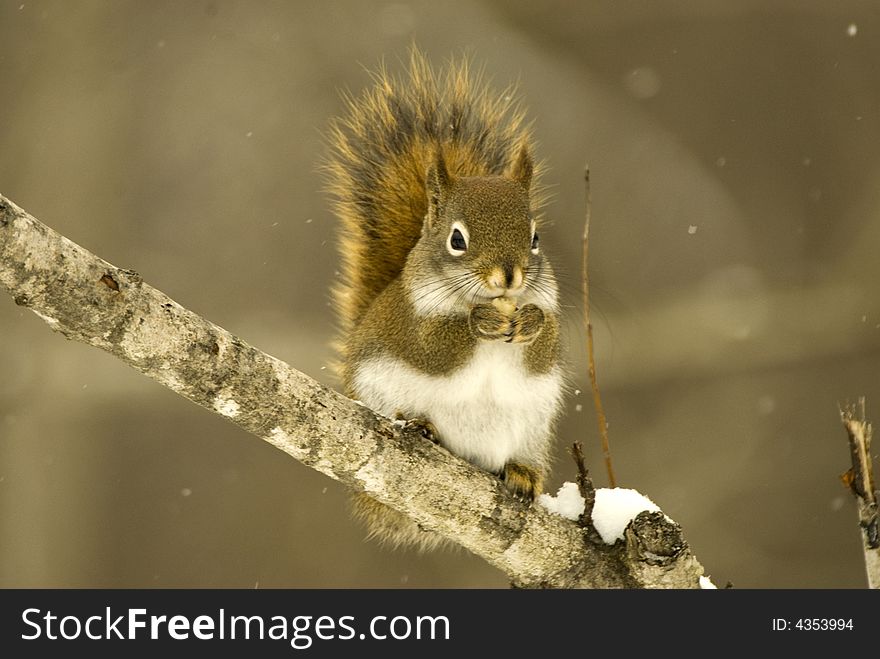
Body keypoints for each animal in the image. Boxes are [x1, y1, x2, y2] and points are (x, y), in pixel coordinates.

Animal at [324, 49, 564, 548]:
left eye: (535, 238)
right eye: (457, 239)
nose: (509, 276)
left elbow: (545, 347)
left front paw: (531, 323)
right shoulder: (411, 323)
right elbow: (433, 350)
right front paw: (481, 324)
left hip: (532, 427)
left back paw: (522, 473)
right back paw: (424, 427)